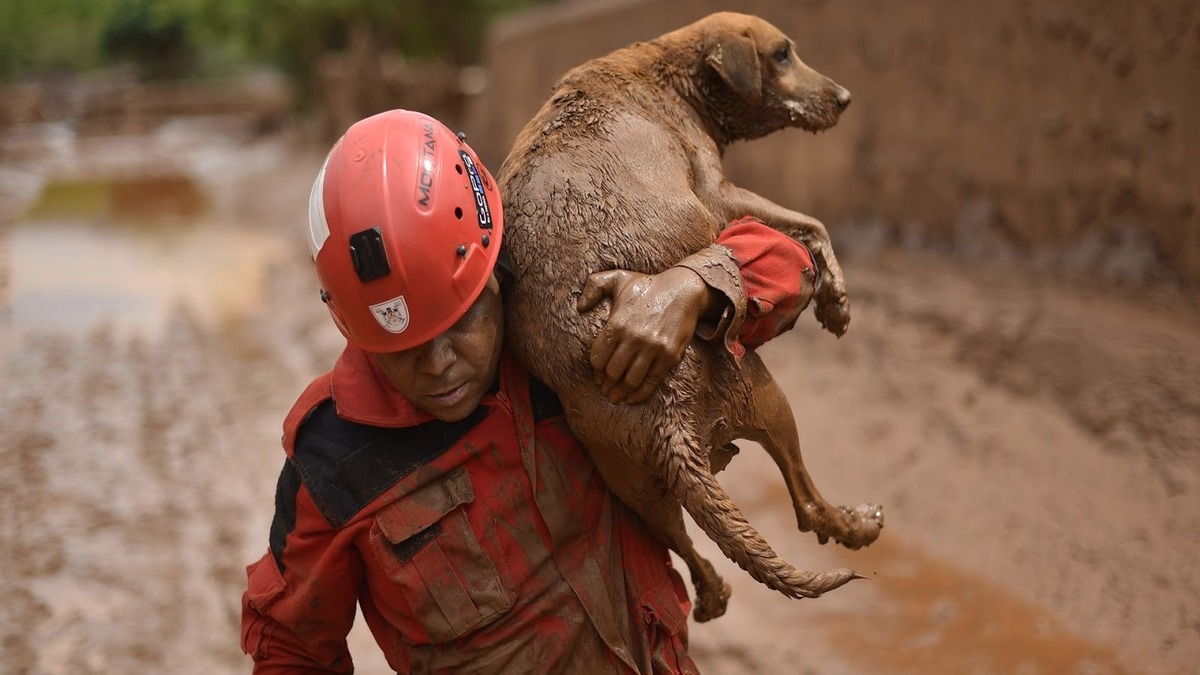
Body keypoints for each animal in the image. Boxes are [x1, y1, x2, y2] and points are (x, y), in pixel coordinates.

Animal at [494, 11, 883, 619]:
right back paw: (855, 524)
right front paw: (837, 302)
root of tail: (669, 417)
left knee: (683, 542)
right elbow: (812, 223)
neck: (670, 71)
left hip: (635, 485)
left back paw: (712, 594)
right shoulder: (719, 194)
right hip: (764, 395)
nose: (844, 97)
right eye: (783, 54)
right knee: (806, 504)